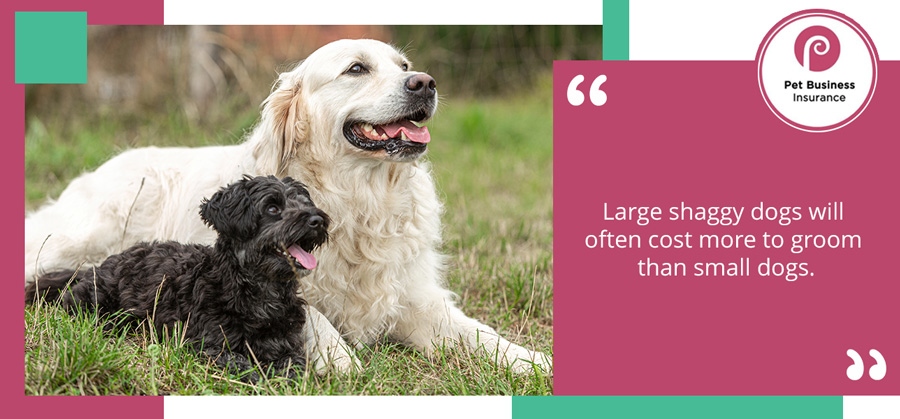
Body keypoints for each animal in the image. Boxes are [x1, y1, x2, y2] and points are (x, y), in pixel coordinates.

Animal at [27, 176, 330, 382]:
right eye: (272, 209)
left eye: (305, 202)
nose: (318, 219)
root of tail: (99, 266)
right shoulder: (203, 345)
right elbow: (238, 361)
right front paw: (259, 376)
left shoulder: (287, 344)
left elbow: (294, 365)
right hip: (96, 304)